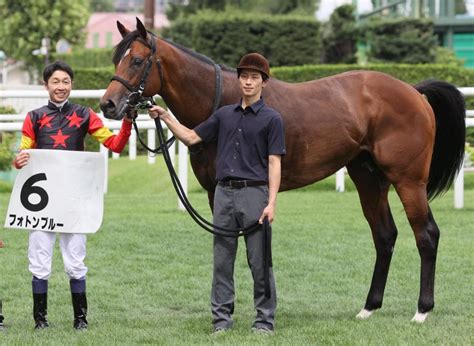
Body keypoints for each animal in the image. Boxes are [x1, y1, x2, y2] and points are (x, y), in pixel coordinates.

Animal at [100, 18, 466, 322]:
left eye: (136, 60)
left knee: (426, 234)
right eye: (117, 59)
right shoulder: (217, 192)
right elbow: (226, 247)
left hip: (408, 181)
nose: (108, 104)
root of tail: (414, 92)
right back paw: (369, 308)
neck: (225, 103)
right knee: (385, 235)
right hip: (368, 178)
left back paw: (422, 311)